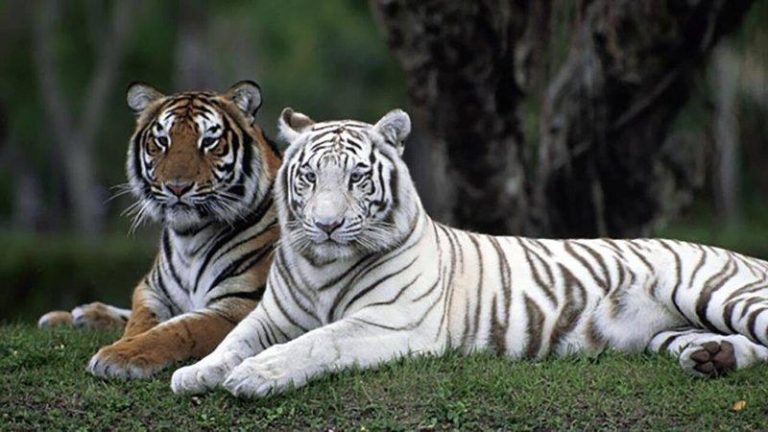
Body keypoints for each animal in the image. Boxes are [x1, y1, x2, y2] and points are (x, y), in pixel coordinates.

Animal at [38, 81, 281, 379]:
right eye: (163, 141)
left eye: (209, 141)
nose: (177, 187)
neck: (190, 239)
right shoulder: (151, 290)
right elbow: (140, 320)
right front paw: (122, 342)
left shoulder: (239, 305)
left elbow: (179, 328)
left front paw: (119, 355)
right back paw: (75, 315)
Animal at [170, 107, 768, 398]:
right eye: (310, 177)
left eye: (358, 176)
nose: (327, 225)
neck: (321, 267)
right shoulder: (272, 316)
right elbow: (232, 340)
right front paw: (196, 373)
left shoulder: (392, 324)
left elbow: (320, 341)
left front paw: (255, 376)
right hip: (673, 329)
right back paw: (713, 359)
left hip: (721, 293)